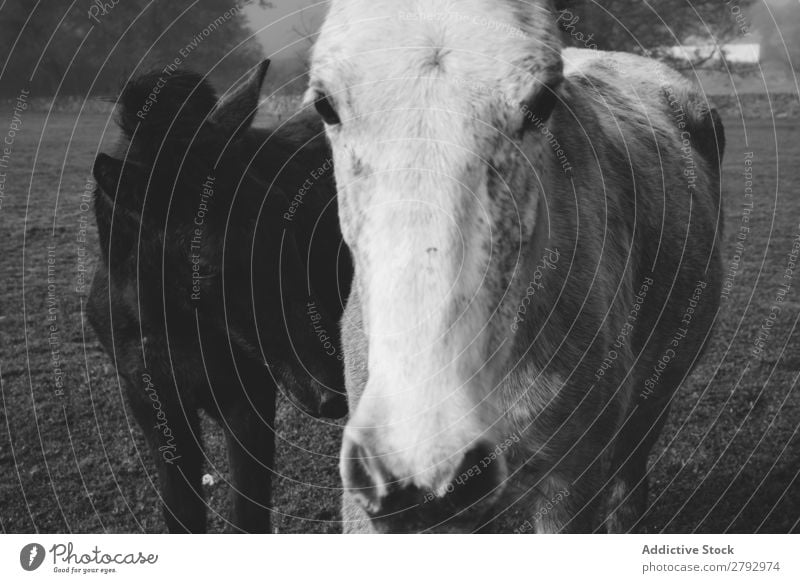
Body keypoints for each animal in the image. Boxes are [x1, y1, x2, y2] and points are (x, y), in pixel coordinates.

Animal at [86, 62, 350, 532]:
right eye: (205, 265)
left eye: (281, 212)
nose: (330, 395)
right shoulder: (154, 405)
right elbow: (181, 514)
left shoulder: (249, 397)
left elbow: (249, 513)